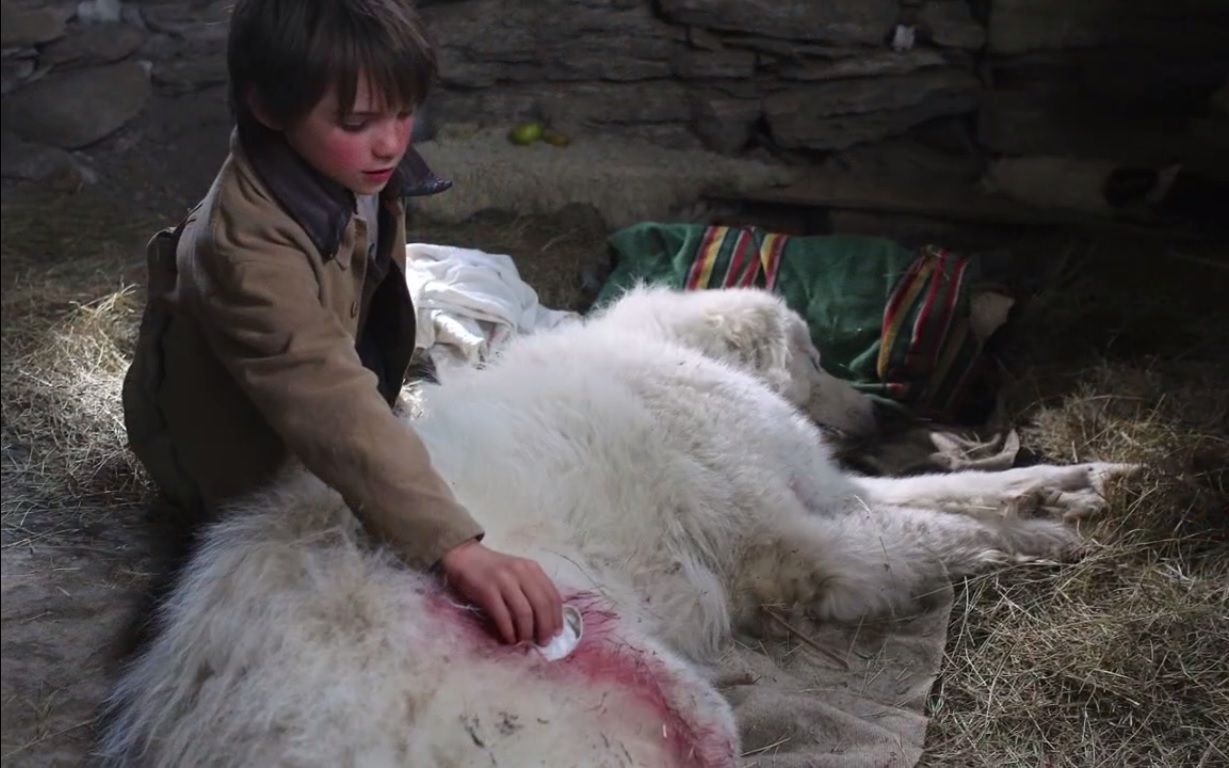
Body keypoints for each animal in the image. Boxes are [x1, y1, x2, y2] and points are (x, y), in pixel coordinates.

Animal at [95, 282, 1130, 766]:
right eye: (811, 356)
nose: (879, 417)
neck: (673, 355)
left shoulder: (829, 495)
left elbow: (963, 495)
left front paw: (1077, 480)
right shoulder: (812, 546)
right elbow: (943, 537)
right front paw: (1050, 543)